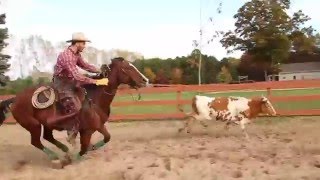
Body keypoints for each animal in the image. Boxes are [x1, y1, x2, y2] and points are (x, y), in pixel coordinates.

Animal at [0, 57, 149, 167]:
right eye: (128, 67)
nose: (145, 80)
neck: (94, 97)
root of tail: (15, 99)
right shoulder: (87, 130)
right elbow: (84, 148)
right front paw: (77, 157)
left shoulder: (98, 125)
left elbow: (107, 137)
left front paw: (91, 148)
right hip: (33, 125)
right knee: (36, 142)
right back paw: (56, 158)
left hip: (47, 124)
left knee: (48, 137)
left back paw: (65, 151)